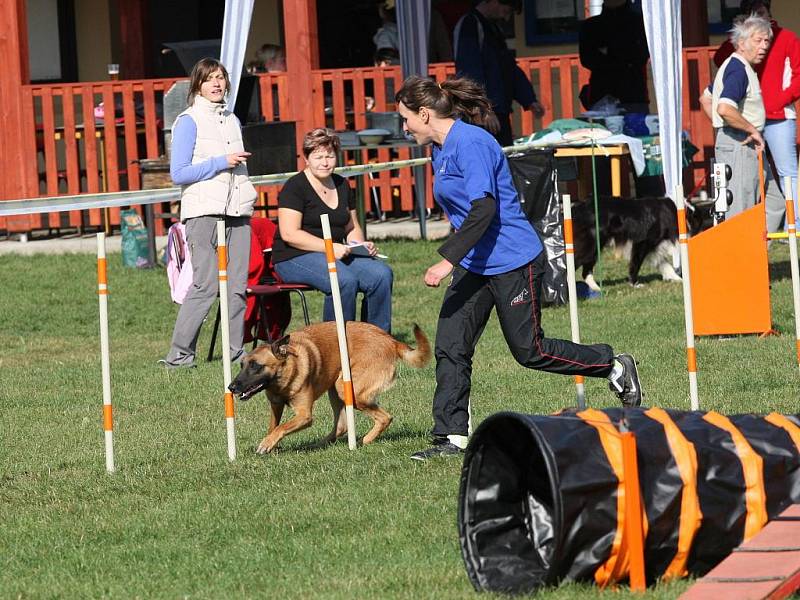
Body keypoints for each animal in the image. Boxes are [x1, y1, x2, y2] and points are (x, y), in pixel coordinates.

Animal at [230, 322, 432, 452]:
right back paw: (319, 444)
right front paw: (271, 444)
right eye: (242, 365)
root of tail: (391, 340)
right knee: (342, 426)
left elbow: (281, 427)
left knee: (385, 417)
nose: (231, 387)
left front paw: (267, 444)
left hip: (348, 389)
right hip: (335, 388)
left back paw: (364, 440)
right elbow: (273, 426)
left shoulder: (305, 415)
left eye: (255, 366)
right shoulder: (276, 405)